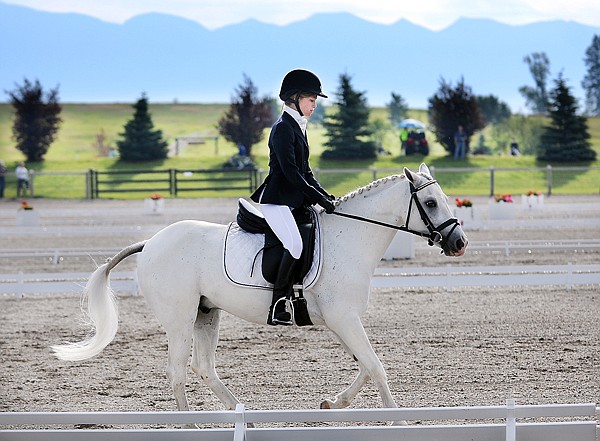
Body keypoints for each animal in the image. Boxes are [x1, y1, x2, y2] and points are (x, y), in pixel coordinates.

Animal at [54, 162, 468, 412]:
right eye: (431, 202)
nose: (459, 242)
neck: (350, 237)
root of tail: (151, 242)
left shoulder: (341, 321)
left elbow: (366, 366)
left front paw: (331, 404)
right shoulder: (344, 318)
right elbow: (377, 367)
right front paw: (396, 418)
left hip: (206, 313)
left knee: (204, 368)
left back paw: (242, 415)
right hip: (179, 319)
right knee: (177, 371)